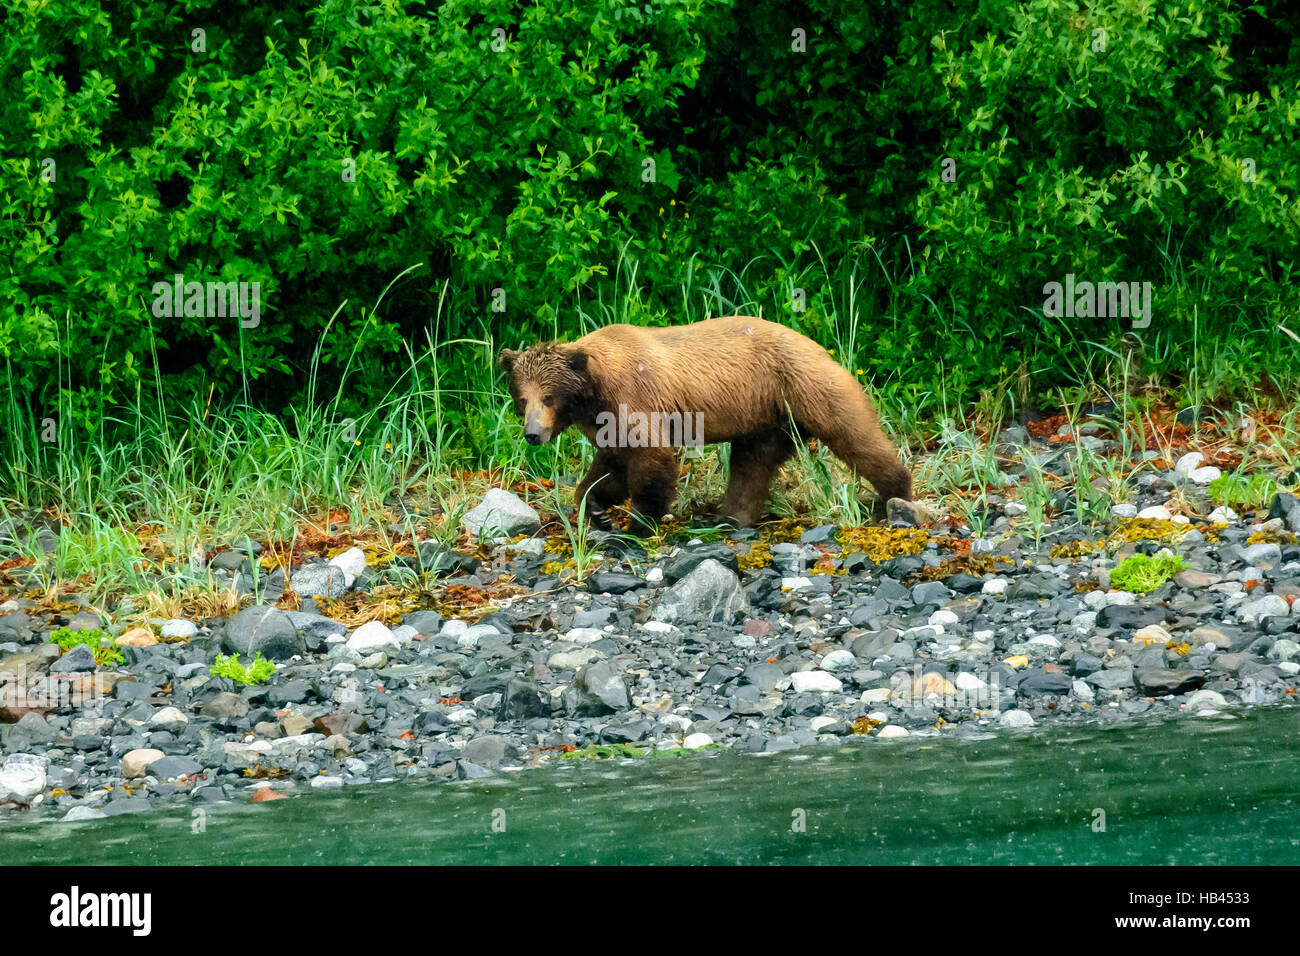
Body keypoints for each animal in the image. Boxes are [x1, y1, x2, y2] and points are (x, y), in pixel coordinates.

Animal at [496, 317, 915, 535]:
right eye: (522, 398)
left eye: (549, 397)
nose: (533, 434)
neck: (595, 389)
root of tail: (817, 345)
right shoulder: (606, 417)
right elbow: (611, 464)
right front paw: (595, 508)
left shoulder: (636, 396)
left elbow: (650, 456)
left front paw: (639, 520)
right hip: (765, 415)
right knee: (752, 463)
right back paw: (730, 515)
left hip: (803, 385)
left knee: (852, 432)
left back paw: (892, 496)